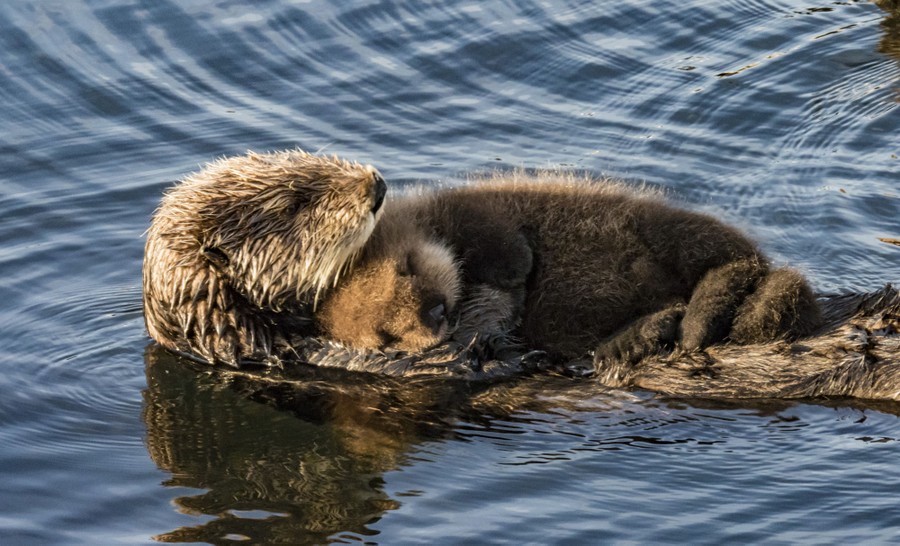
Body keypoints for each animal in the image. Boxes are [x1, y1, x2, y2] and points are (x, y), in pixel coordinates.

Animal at [316, 171, 822, 367]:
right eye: (387, 336)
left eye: (407, 268)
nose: (436, 313)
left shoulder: (464, 208)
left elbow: (492, 230)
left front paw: (515, 269)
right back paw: (640, 336)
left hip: (671, 230)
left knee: (733, 258)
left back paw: (700, 316)